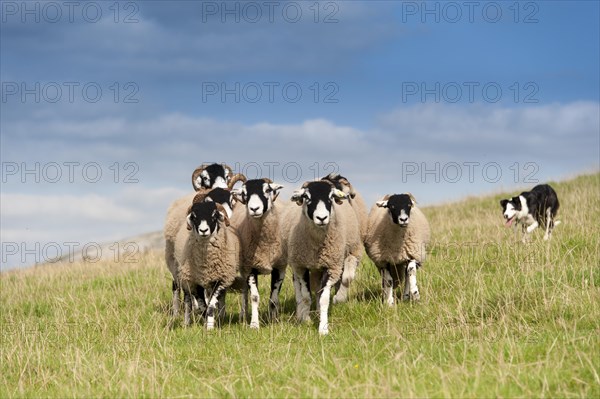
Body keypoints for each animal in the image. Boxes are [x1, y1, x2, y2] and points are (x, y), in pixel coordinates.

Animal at [173, 202, 241, 330]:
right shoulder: (196, 283)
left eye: (214, 215)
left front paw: (209, 327)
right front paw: (206, 322)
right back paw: (186, 322)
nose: (203, 230)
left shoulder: (220, 280)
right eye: (194, 216)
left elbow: (210, 305)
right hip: (185, 278)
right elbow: (202, 306)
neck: (206, 265)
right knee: (187, 300)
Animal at [230, 180, 288, 330]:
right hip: (243, 268)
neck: (265, 245)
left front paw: (274, 321)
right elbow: (254, 297)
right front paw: (254, 324)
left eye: (267, 190)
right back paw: (243, 315)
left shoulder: (280, 267)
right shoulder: (250, 267)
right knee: (245, 291)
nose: (254, 208)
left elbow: (274, 299)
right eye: (244, 193)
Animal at [288, 180, 364, 334]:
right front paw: (306, 320)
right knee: (299, 289)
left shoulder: (331, 267)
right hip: (296, 265)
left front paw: (323, 328)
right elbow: (306, 297)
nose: (322, 218)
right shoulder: (302, 266)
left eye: (331, 197)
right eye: (306, 197)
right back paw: (301, 313)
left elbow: (324, 298)